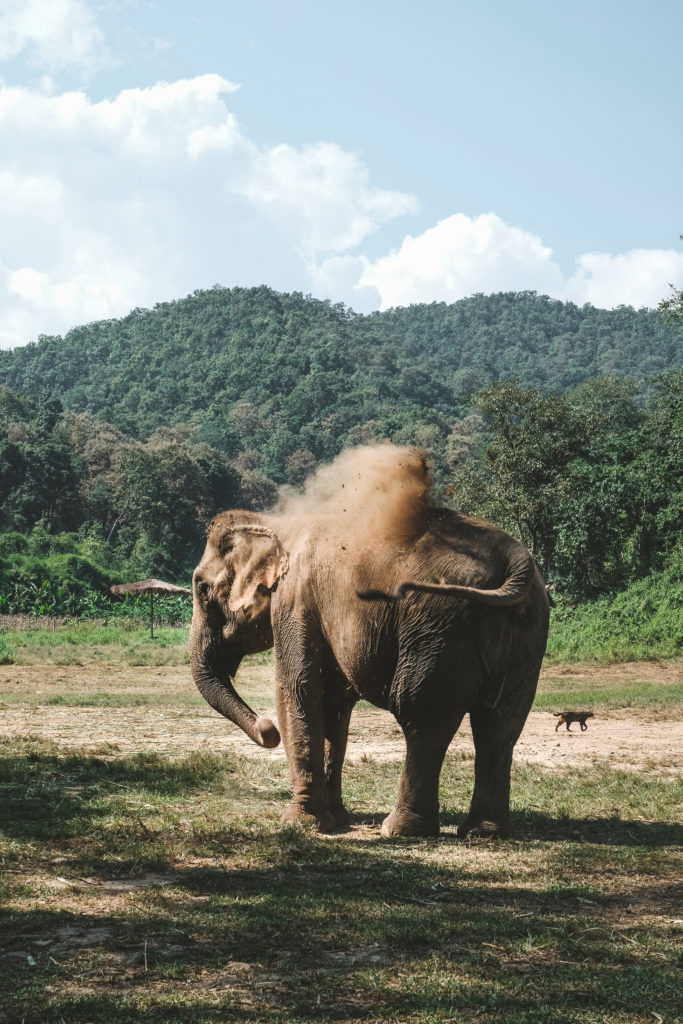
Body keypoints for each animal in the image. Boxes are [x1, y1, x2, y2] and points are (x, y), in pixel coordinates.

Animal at [191, 452, 548, 835]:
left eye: (201, 588)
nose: (266, 729)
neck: (278, 522)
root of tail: (514, 557)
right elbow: (333, 701)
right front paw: (337, 820)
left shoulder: (295, 599)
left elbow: (297, 688)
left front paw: (302, 823)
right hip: (523, 637)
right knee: (499, 723)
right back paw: (483, 831)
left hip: (439, 624)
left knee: (421, 710)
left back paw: (400, 829)